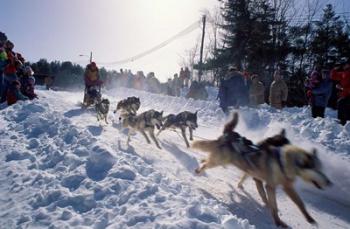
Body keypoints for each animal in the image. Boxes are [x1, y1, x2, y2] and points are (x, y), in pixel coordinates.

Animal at [193, 112, 332, 227]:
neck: (282, 162)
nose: (329, 182)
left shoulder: (287, 187)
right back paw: (199, 170)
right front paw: (278, 222)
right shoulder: (269, 186)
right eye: (316, 170)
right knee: (206, 161)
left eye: (321, 169)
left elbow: (300, 203)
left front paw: (309, 218)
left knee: (207, 159)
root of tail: (230, 134)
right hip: (219, 160)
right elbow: (273, 205)